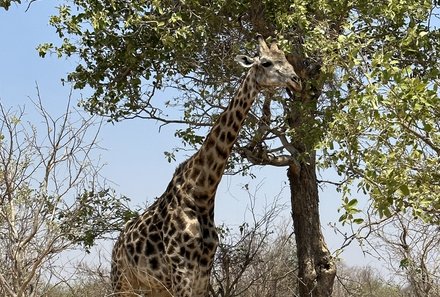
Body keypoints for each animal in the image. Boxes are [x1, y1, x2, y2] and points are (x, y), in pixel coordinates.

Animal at [111, 33, 302, 294]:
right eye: (266, 63)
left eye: (286, 59)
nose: (296, 80)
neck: (201, 193)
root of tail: (117, 244)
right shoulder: (181, 272)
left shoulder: (203, 273)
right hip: (121, 280)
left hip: (152, 287)